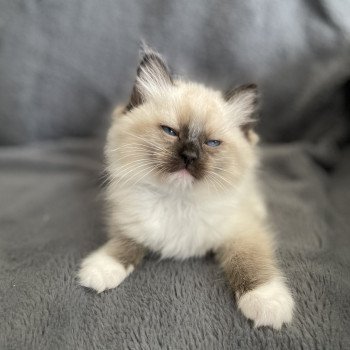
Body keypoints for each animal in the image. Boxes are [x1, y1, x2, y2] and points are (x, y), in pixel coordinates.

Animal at [78, 45, 294, 328]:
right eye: (170, 131)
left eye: (212, 143)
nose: (189, 156)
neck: (178, 200)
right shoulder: (130, 223)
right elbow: (123, 244)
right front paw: (101, 269)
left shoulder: (241, 232)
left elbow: (250, 261)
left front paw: (266, 302)